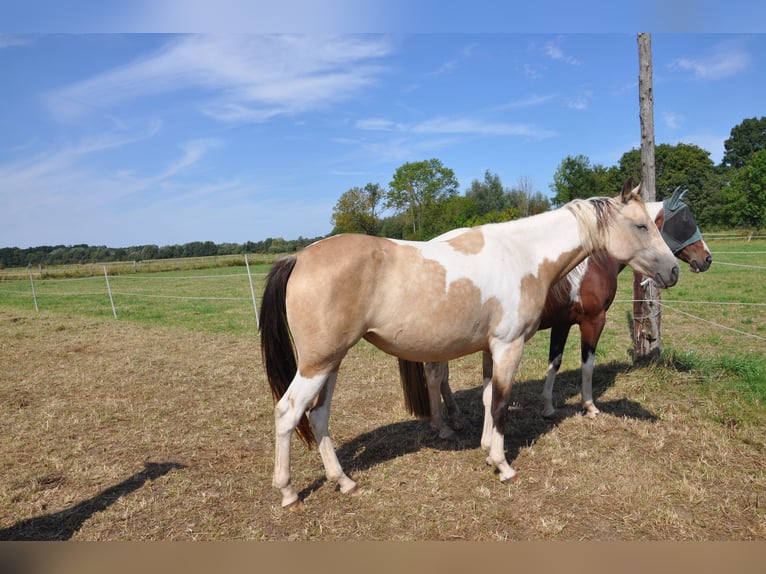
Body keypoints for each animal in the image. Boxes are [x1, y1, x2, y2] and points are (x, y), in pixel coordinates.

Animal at [259, 180, 680, 508]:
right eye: (641, 225)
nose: (673, 271)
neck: (524, 256)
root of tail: (298, 257)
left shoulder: (492, 349)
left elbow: (488, 396)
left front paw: (485, 450)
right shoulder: (510, 346)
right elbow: (502, 402)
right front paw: (503, 465)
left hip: (331, 363)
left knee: (318, 415)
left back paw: (344, 481)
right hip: (317, 364)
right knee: (288, 412)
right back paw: (288, 492)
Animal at [399, 187, 711, 442]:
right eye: (684, 222)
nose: (705, 259)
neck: (593, 262)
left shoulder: (563, 324)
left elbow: (555, 362)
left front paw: (548, 406)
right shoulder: (593, 321)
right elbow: (587, 364)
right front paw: (589, 406)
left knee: (442, 377)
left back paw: (456, 418)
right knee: (435, 375)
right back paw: (443, 426)